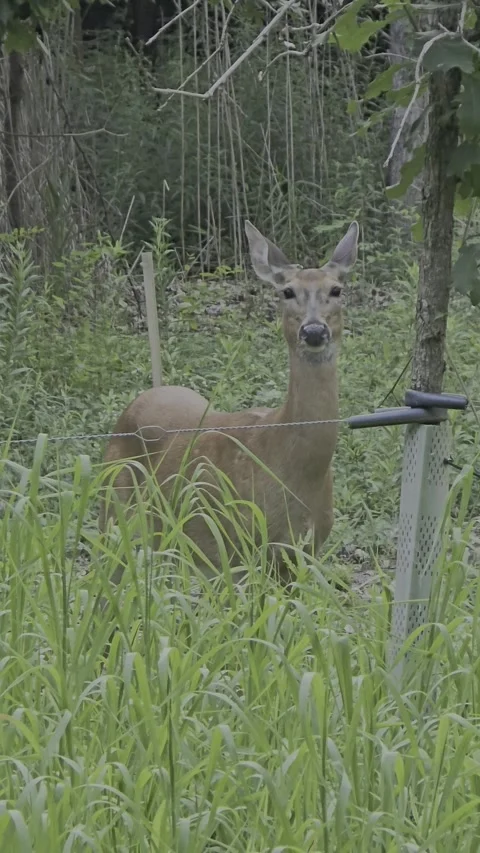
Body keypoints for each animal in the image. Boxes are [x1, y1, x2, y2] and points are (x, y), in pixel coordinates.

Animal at [100, 219, 359, 584]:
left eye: (336, 290)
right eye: (287, 291)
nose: (313, 331)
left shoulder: (303, 554)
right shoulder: (237, 551)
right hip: (113, 509)